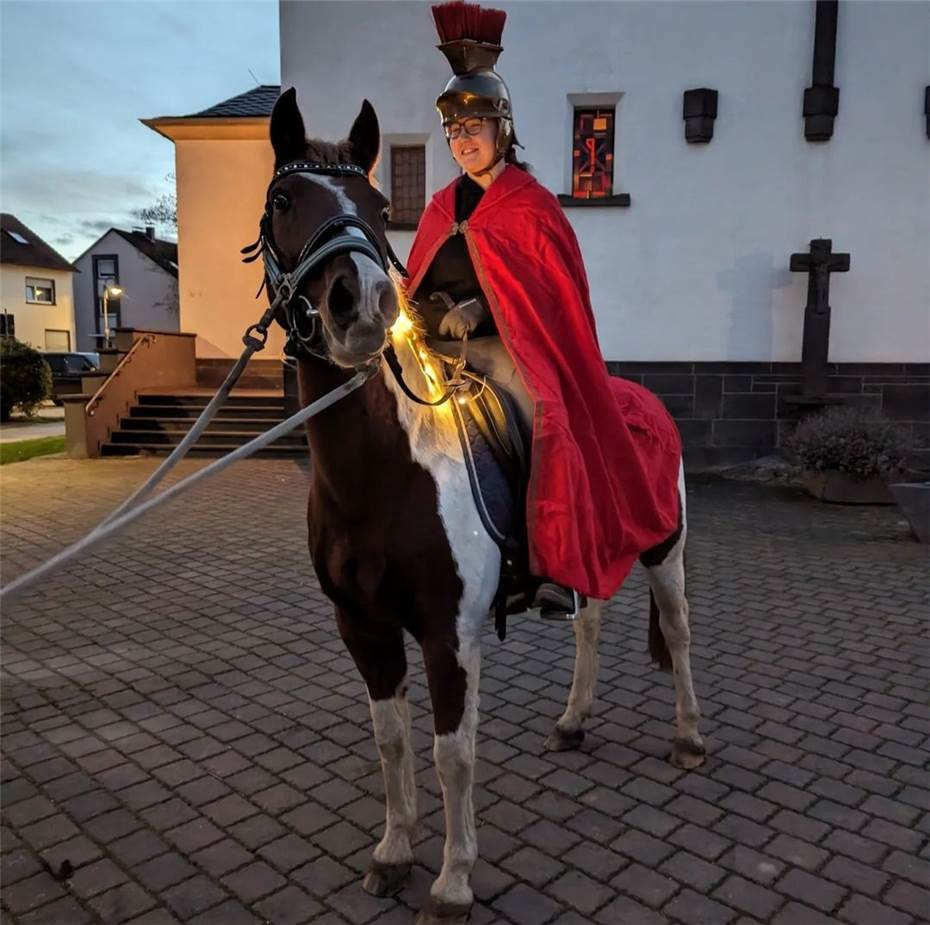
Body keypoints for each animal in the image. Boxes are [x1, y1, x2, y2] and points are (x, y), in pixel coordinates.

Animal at [262, 88, 704, 924]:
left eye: (377, 206)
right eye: (283, 201)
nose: (361, 306)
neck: (380, 478)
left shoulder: (449, 635)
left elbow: (452, 753)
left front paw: (452, 881)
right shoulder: (361, 627)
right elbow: (392, 740)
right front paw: (393, 852)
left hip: (665, 548)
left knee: (677, 630)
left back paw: (690, 737)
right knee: (591, 620)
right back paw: (572, 721)